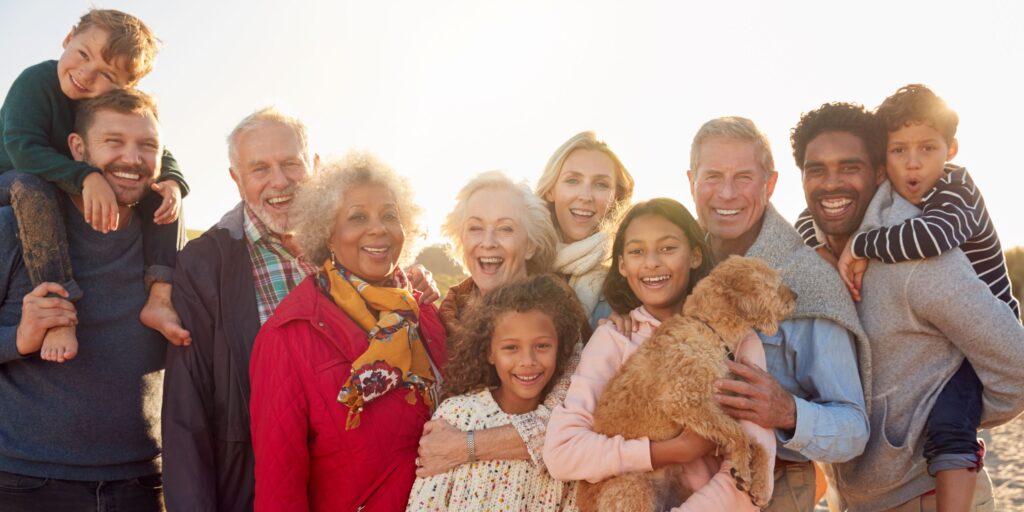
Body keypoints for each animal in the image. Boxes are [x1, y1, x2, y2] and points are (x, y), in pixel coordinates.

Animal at [573, 256, 794, 512]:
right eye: (775, 284)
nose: (797, 296)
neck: (707, 329)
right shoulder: (686, 401)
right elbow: (739, 434)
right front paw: (742, 468)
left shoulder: (722, 408)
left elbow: (755, 442)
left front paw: (760, 486)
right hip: (633, 488)